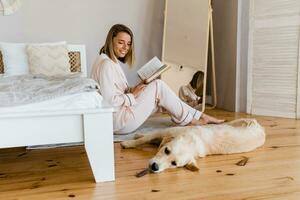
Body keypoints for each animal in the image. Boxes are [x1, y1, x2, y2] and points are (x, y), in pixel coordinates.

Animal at [119, 118, 264, 173]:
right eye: (166, 150)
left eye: (174, 164)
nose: (155, 167)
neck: (191, 142)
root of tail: (260, 127)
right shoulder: (166, 132)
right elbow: (146, 138)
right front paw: (129, 141)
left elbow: (150, 139)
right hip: (232, 122)